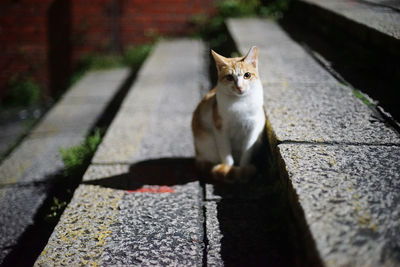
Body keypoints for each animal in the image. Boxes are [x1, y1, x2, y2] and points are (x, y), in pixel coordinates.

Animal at [191, 47, 266, 183]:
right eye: (229, 77)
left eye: (247, 75)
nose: (239, 87)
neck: (240, 103)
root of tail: (198, 157)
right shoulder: (220, 129)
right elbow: (226, 155)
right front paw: (229, 170)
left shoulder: (253, 129)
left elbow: (246, 152)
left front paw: (243, 168)